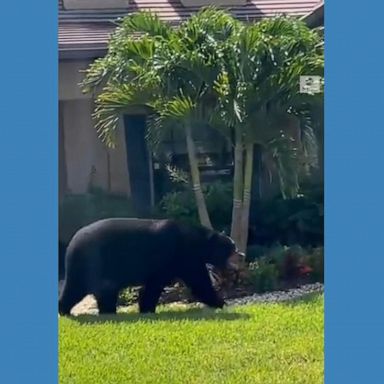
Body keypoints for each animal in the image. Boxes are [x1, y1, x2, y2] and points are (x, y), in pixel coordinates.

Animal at [58, 219, 242, 316]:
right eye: (232, 248)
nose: (242, 253)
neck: (199, 243)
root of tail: (72, 243)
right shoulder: (181, 256)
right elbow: (199, 284)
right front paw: (222, 303)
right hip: (91, 264)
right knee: (78, 288)